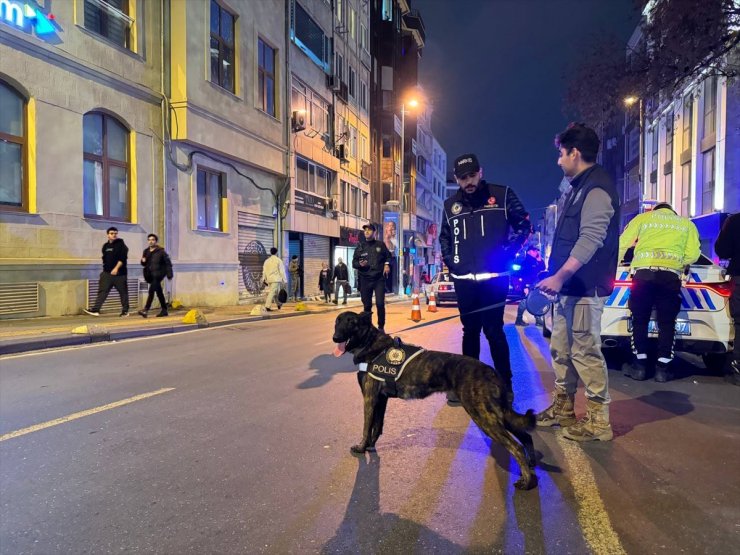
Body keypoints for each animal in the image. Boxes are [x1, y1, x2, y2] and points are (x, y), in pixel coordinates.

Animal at [330, 312, 536, 490]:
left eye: (351, 322)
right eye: (337, 322)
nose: (335, 337)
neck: (370, 343)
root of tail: (490, 371)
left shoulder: (370, 398)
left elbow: (366, 427)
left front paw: (361, 447)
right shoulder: (380, 400)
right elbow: (377, 426)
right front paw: (371, 445)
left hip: (484, 416)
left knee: (516, 447)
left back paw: (526, 481)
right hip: (496, 414)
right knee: (525, 436)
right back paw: (531, 465)